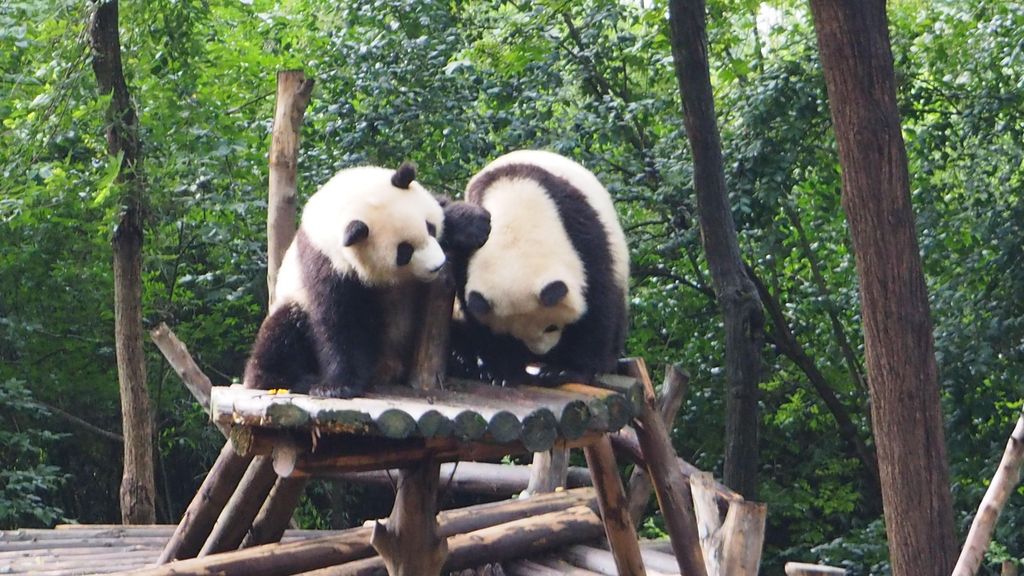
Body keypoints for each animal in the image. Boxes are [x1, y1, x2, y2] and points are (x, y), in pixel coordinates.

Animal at [244, 162, 490, 398]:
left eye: (429, 227)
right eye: (404, 252)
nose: (437, 266)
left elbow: (445, 208)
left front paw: (473, 224)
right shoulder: (327, 263)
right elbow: (339, 322)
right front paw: (336, 387)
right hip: (293, 305)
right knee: (281, 335)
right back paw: (295, 379)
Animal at [451, 150, 629, 385]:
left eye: (551, 326)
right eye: (513, 335)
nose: (542, 352)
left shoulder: (584, 235)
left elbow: (597, 306)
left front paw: (564, 369)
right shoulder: (468, 250)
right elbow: (480, 325)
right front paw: (504, 371)